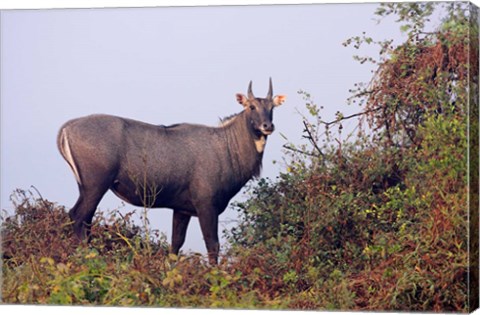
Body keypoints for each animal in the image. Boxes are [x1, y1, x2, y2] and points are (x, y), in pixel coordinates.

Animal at [58, 79, 286, 264]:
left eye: (272, 107)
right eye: (251, 106)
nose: (267, 126)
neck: (228, 147)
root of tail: (65, 129)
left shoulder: (182, 209)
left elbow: (176, 245)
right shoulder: (206, 205)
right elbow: (213, 245)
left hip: (86, 186)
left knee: (84, 219)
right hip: (96, 184)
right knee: (79, 216)